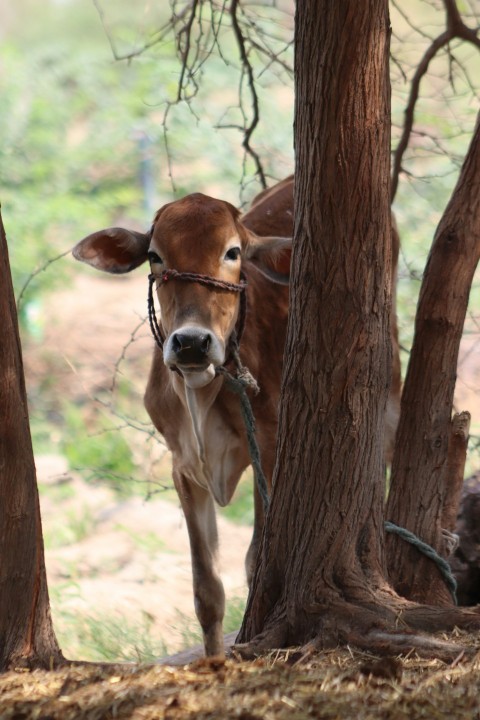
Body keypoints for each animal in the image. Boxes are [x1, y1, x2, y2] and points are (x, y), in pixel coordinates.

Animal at [72, 176, 401, 656]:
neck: (202, 393)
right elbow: (206, 589)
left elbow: (254, 563)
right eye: (155, 255)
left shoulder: (270, 449)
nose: (191, 342)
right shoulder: (184, 466)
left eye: (232, 252)